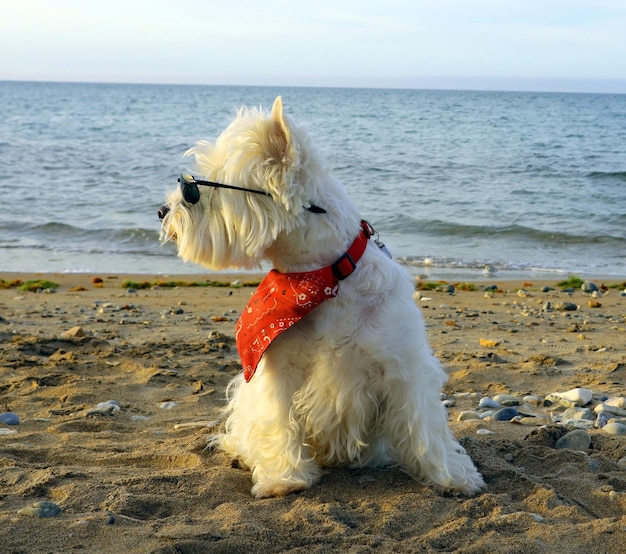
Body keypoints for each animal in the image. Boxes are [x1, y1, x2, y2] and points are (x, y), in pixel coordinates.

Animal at [160, 96, 482, 496]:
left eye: (200, 188)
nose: (162, 211)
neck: (320, 278)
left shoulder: (405, 368)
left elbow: (425, 426)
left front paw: (452, 476)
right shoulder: (278, 371)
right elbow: (279, 422)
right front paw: (284, 479)